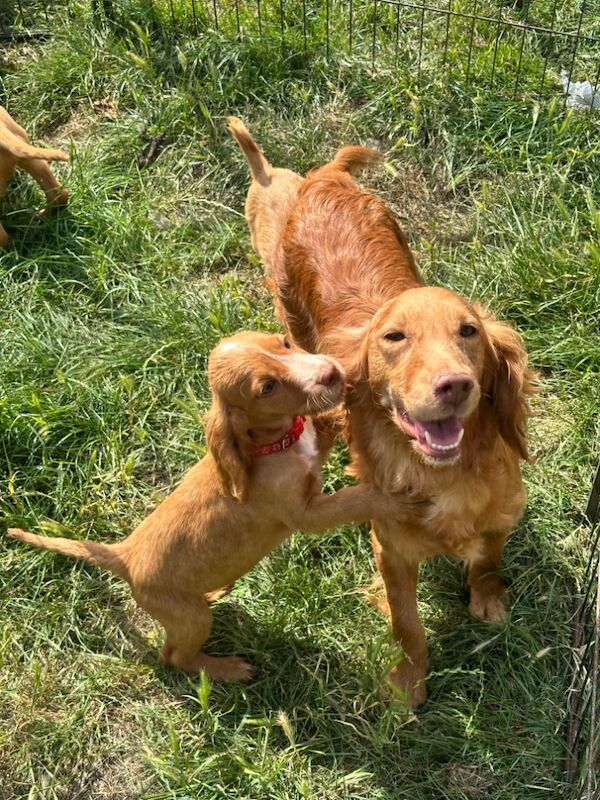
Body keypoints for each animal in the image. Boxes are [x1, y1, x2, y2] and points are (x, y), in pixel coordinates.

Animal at [7, 332, 420, 680]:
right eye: (267, 388)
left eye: (284, 342)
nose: (332, 373)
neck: (273, 446)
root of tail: (124, 555)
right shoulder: (305, 513)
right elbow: (354, 499)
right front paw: (397, 499)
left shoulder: (312, 451)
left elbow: (324, 427)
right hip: (190, 620)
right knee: (174, 656)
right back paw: (225, 670)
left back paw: (214, 593)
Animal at [232, 130, 536, 708]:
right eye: (394, 337)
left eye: (469, 332)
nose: (454, 385)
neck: (445, 475)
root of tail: (324, 177)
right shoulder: (390, 549)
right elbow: (407, 624)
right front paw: (410, 679)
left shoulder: (502, 511)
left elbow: (488, 558)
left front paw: (487, 596)